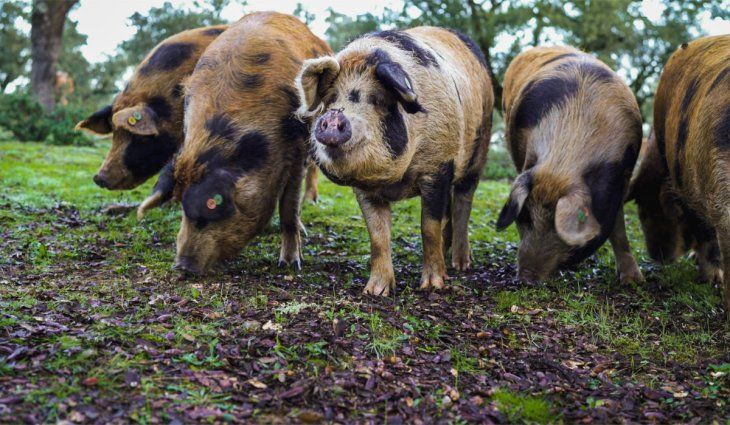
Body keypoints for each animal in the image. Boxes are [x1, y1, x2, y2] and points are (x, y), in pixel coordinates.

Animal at [172, 13, 332, 274]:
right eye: (181, 202)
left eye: (214, 203)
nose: (182, 266)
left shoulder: (297, 149)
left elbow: (289, 208)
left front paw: (290, 265)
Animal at [292, 26, 492, 294]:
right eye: (332, 98)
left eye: (377, 99)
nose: (334, 117)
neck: (395, 180)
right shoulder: (364, 190)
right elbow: (377, 234)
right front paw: (374, 292)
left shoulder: (437, 167)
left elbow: (429, 226)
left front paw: (432, 286)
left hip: (479, 150)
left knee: (463, 202)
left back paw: (461, 265)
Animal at [494, 45, 644, 284]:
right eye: (525, 217)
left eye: (557, 227)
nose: (526, 278)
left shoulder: (623, 176)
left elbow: (618, 228)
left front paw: (633, 281)